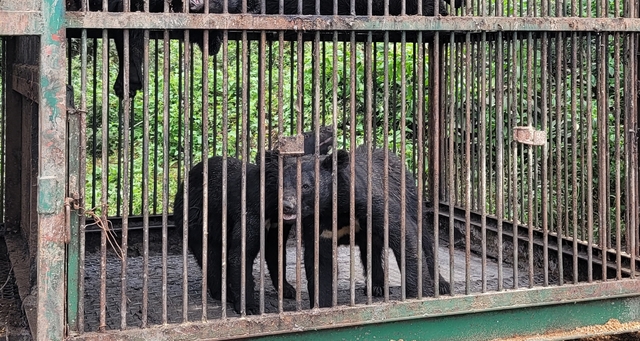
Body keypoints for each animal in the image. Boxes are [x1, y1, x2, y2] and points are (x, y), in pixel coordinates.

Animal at [175, 125, 336, 314]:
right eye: (308, 134)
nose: (329, 127)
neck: (272, 201)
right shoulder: (252, 211)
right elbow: (241, 252)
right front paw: (249, 306)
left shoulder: (277, 222)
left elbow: (275, 252)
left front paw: (288, 289)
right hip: (198, 218)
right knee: (210, 255)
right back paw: (224, 293)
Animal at [276, 145, 450, 306]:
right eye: (281, 185)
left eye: (305, 186)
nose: (287, 206)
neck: (332, 207)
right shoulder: (317, 226)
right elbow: (320, 263)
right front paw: (323, 304)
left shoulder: (368, 201)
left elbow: (404, 234)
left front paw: (421, 296)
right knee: (371, 250)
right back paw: (377, 286)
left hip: (409, 197)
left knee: (424, 237)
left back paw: (442, 284)